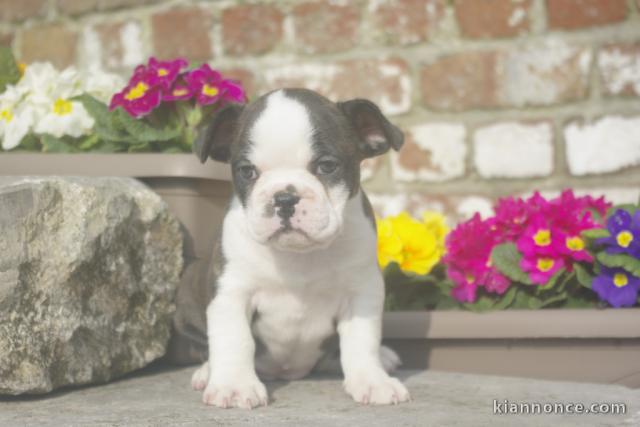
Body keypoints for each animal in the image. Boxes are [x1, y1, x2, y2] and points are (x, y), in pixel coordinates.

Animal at [191, 88, 410, 410]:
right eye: (247, 171)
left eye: (327, 166)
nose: (284, 197)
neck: (298, 256)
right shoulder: (231, 290)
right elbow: (234, 338)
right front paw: (234, 385)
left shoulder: (361, 292)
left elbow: (362, 339)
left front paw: (373, 380)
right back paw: (207, 371)